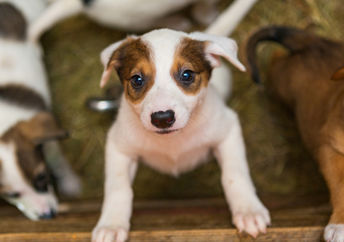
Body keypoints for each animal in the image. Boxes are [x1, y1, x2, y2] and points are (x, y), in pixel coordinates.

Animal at [0, 0, 80, 220]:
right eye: (11, 194)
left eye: (42, 177)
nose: (48, 215)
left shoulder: (49, 141)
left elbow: (59, 161)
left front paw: (71, 183)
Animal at [92, 0, 268, 242]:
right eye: (137, 79)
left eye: (187, 75)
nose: (162, 118)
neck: (173, 142)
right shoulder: (118, 145)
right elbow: (118, 187)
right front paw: (111, 224)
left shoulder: (228, 129)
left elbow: (235, 174)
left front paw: (249, 210)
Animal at [246, 25, 344, 241]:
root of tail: (314, 43)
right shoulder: (329, 147)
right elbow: (341, 186)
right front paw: (339, 225)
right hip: (281, 78)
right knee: (275, 59)